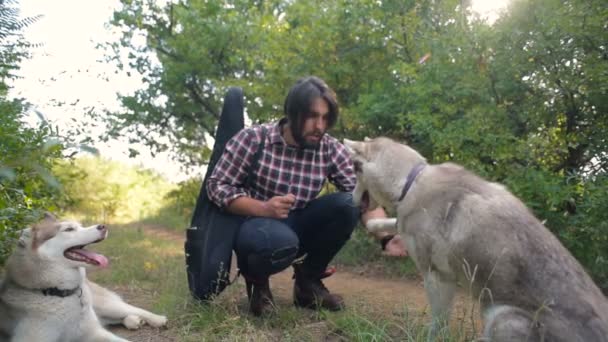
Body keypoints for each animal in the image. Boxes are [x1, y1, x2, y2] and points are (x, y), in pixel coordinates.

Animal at [0, 214, 167, 342]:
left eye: (80, 226)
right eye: (69, 229)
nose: (103, 226)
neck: (60, 294)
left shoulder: (94, 332)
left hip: (105, 305)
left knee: (131, 308)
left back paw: (157, 319)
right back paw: (133, 320)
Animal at [344, 137, 604, 342]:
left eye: (354, 169)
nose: (349, 200)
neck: (410, 182)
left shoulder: (437, 278)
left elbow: (437, 326)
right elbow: (394, 222)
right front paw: (376, 225)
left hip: (502, 317)